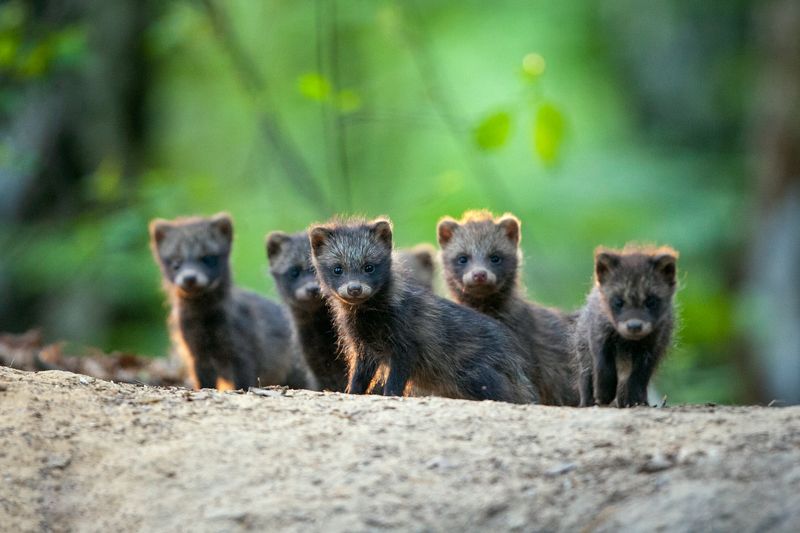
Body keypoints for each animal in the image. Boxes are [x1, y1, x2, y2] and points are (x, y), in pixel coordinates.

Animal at [149, 213, 315, 391]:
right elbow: (204, 382)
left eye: (208, 258)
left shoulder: (241, 348)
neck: (203, 317)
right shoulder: (196, 353)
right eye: (176, 262)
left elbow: (243, 380)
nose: (190, 278)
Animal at [308, 216, 536, 404]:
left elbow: (396, 379)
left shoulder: (406, 343)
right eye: (337, 269)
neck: (369, 321)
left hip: (476, 374)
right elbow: (359, 375)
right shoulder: (362, 346)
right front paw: (350, 391)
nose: (354, 288)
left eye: (369, 266)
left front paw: (390, 394)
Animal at [573, 245, 678, 407]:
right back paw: (587, 401)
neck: (628, 340)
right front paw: (604, 392)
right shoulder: (598, 331)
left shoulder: (654, 343)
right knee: (585, 375)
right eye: (618, 302)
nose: (634, 326)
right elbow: (603, 364)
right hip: (582, 345)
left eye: (650, 301)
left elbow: (640, 374)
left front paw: (635, 398)